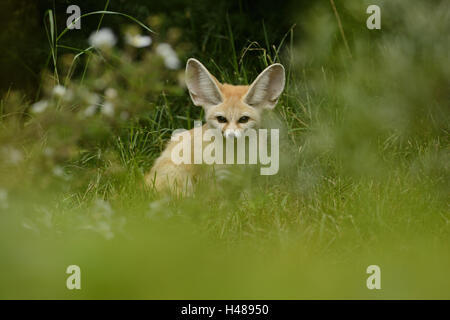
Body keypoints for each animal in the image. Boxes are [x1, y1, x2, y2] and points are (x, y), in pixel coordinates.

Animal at [146, 57, 286, 194]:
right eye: (221, 119)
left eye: (244, 119)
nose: (231, 136)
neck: (234, 158)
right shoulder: (214, 178)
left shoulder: (246, 176)